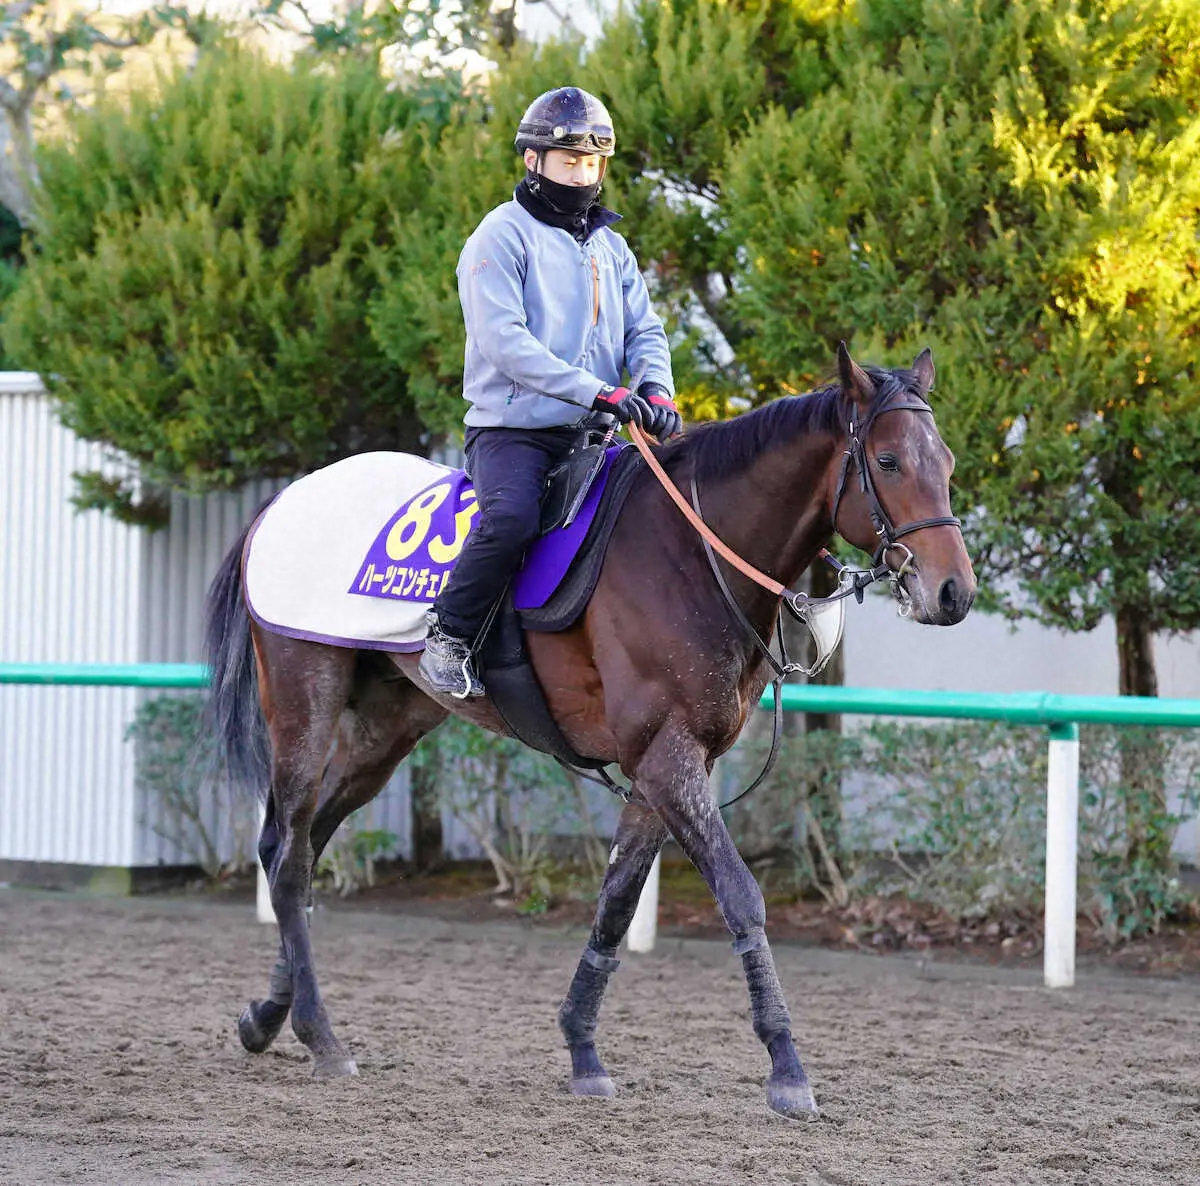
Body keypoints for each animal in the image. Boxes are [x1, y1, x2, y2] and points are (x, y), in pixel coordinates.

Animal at [206, 343, 974, 1118]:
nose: (953, 593)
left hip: (385, 729)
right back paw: (320, 1036)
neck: (690, 553)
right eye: (887, 461)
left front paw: (582, 1047)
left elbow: (615, 904)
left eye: (944, 461)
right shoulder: (667, 758)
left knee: (301, 844)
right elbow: (740, 897)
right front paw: (786, 1065)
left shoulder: (664, 766)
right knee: (290, 854)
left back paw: (268, 1016)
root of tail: (284, 499)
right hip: (304, 702)